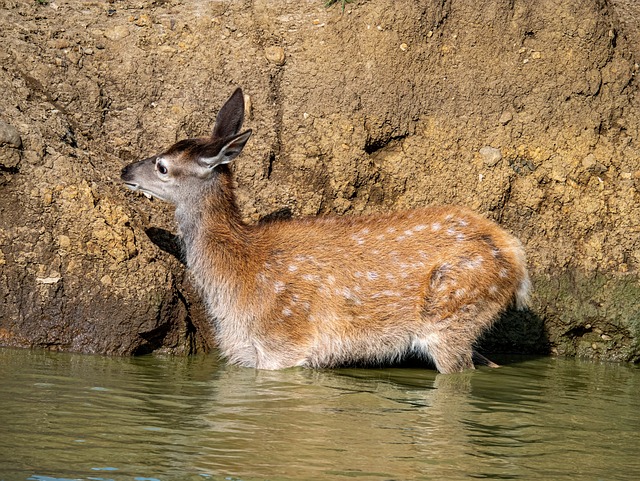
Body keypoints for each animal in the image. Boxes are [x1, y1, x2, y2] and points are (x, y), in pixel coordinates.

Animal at [120, 90, 528, 376]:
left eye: (162, 166)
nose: (125, 169)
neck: (238, 274)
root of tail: (516, 257)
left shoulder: (283, 345)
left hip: (453, 315)